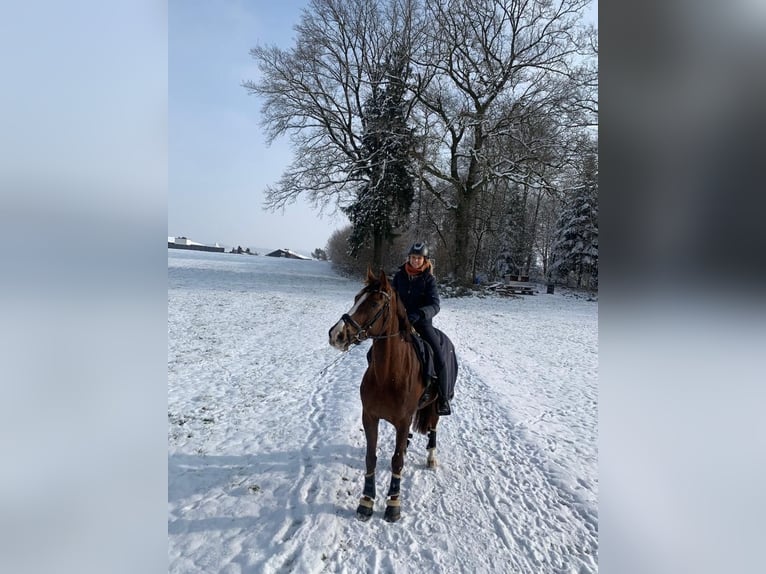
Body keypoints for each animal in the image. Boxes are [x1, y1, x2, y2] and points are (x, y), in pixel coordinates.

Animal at [328, 268, 444, 520]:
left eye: (373, 303)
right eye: (356, 298)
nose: (336, 334)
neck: (389, 375)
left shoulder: (402, 421)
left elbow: (397, 461)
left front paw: (393, 504)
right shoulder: (370, 417)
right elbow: (370, 458)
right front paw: (366, 501)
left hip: (436, 405)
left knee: (433, 426)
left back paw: (432, 457)